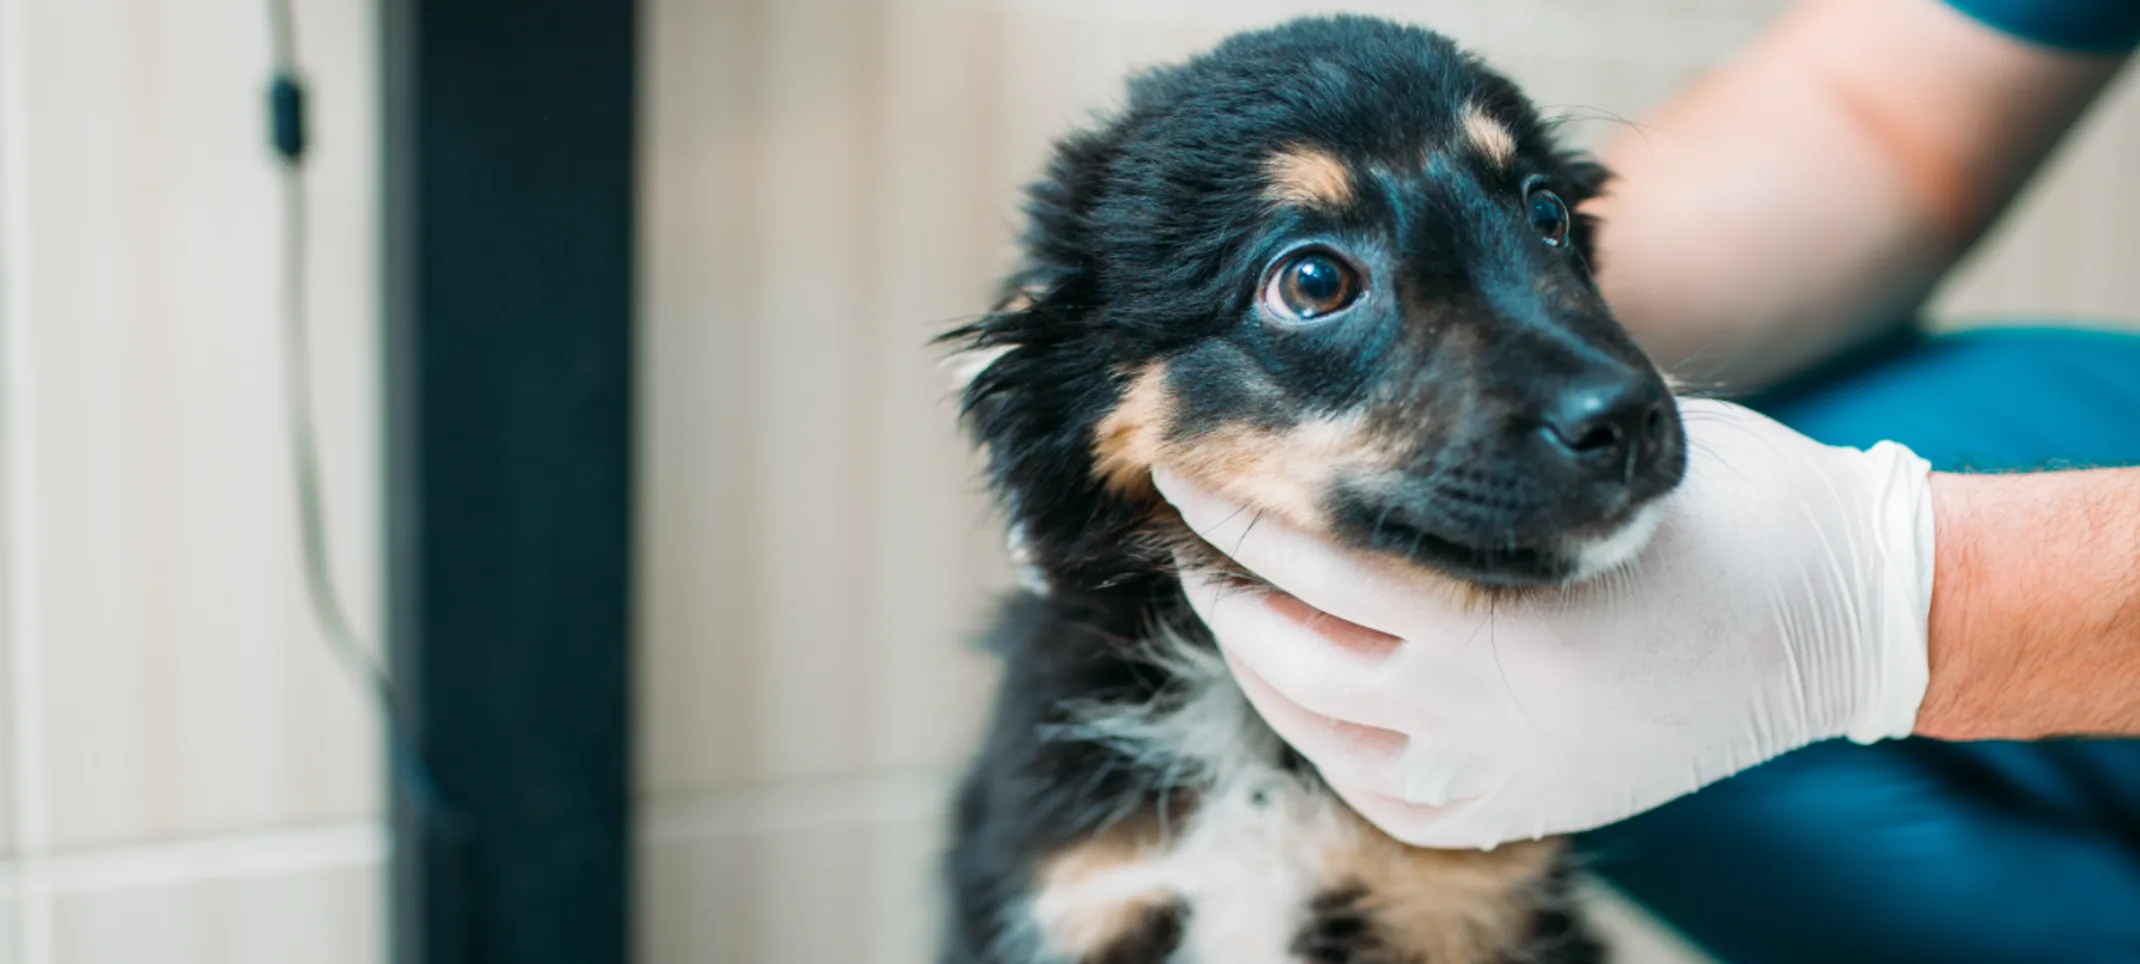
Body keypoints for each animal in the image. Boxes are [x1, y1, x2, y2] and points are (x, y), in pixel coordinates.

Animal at [937, 16, 1686, 964]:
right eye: (1313, 281)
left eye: (1546, 215)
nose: (1629, 419)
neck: (1258, 744)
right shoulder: (1075, 897)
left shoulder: (1471, 906)